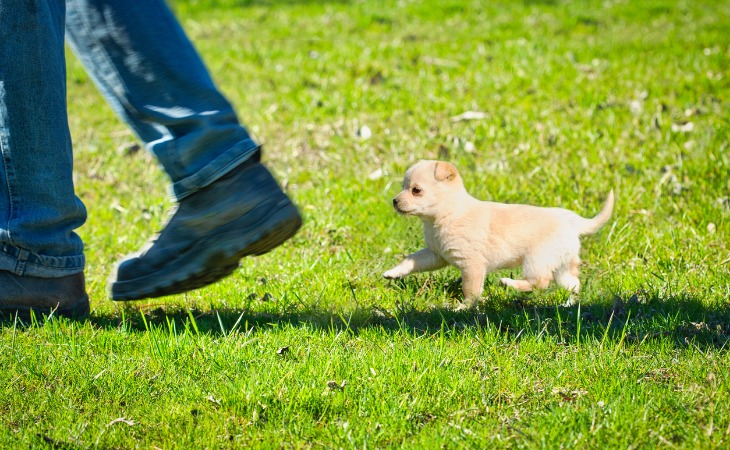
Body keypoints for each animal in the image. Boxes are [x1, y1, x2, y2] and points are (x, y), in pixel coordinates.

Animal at [384, 161, 612, 310]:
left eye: (416, 190)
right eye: (403, 187)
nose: (394, 201)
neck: (447, 214)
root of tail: (573, 221)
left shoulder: (472, 265)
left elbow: (471, 290)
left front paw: (464, 308)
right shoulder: (436, 255)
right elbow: (412, 260)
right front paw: (393, 272)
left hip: (536, 260)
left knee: (539, 282)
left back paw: (509, 283)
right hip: (561, 265)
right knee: (573, 283)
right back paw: (568, 304)